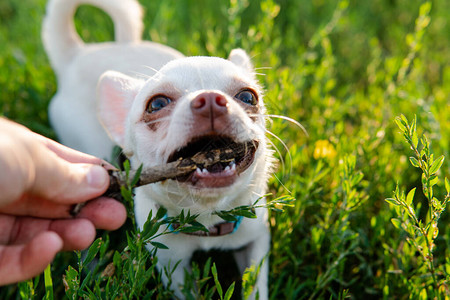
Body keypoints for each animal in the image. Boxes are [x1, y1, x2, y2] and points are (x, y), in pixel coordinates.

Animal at [44, 0, 272, 298]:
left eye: (248, 96)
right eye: (157, 104)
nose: (210, 99)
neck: (206, 217)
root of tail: (77, 54)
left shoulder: (256, 241)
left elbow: (256, 284)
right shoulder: (171, 264)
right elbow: (185, 291)